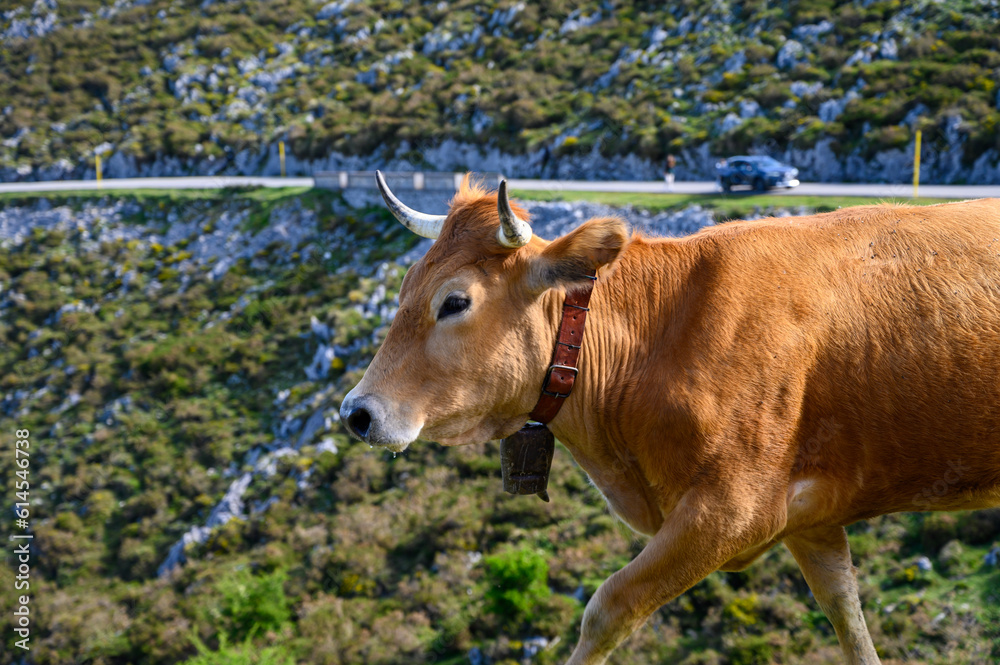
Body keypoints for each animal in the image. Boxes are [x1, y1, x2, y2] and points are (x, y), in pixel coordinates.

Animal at [340, 172, 1000, 665]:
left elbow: (607, 609)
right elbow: (849, 619)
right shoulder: (812, 519)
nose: (356, 412)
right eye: (405, 285)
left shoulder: (731, 512)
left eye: (455, 301)